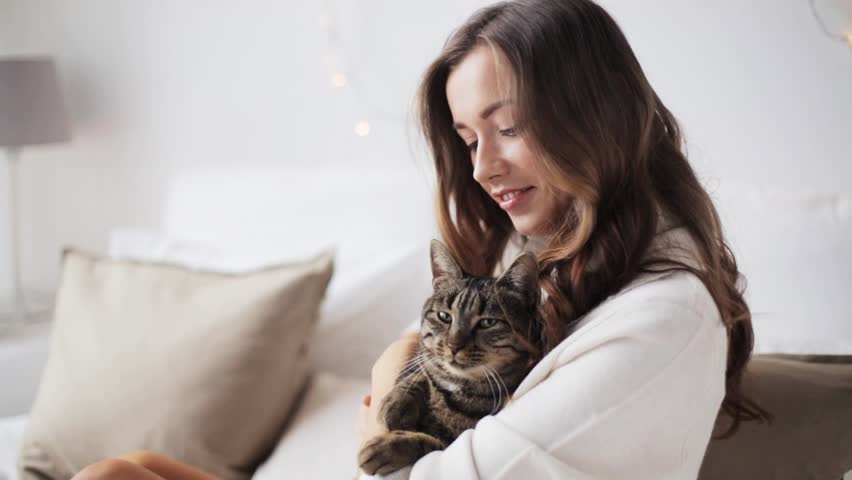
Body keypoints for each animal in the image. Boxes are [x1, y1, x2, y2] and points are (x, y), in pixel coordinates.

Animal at [356, 240, 544, 476]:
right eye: (444, 316)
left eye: (487, 322)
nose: (454, 345)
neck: (456, 385)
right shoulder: (422, 357)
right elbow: (421, 370)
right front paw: (396, 404)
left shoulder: (450, 441)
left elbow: (427, 444)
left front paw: (387, 448)